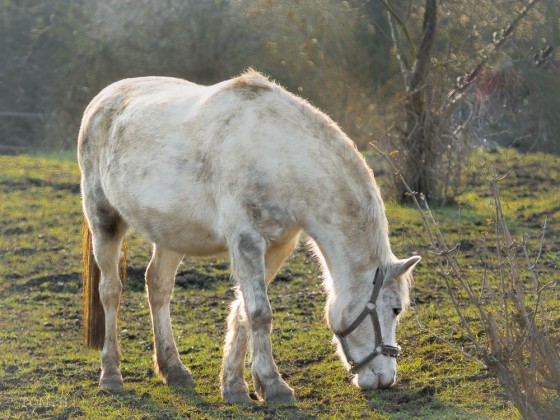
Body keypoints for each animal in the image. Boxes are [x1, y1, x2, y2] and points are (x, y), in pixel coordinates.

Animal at [77, 69, 420, 404]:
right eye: (395, 309)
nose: (386, 378)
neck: (279, 155)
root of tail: (102, 99)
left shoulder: (277, 246)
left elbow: (244, 310)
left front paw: (235, 386)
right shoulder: (246, 241)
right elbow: (259, 312)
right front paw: (274, 385)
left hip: (171, 233)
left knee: (158, 286)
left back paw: (173, 369)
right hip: (104, 219)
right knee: (110, 291)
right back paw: (111, 375)